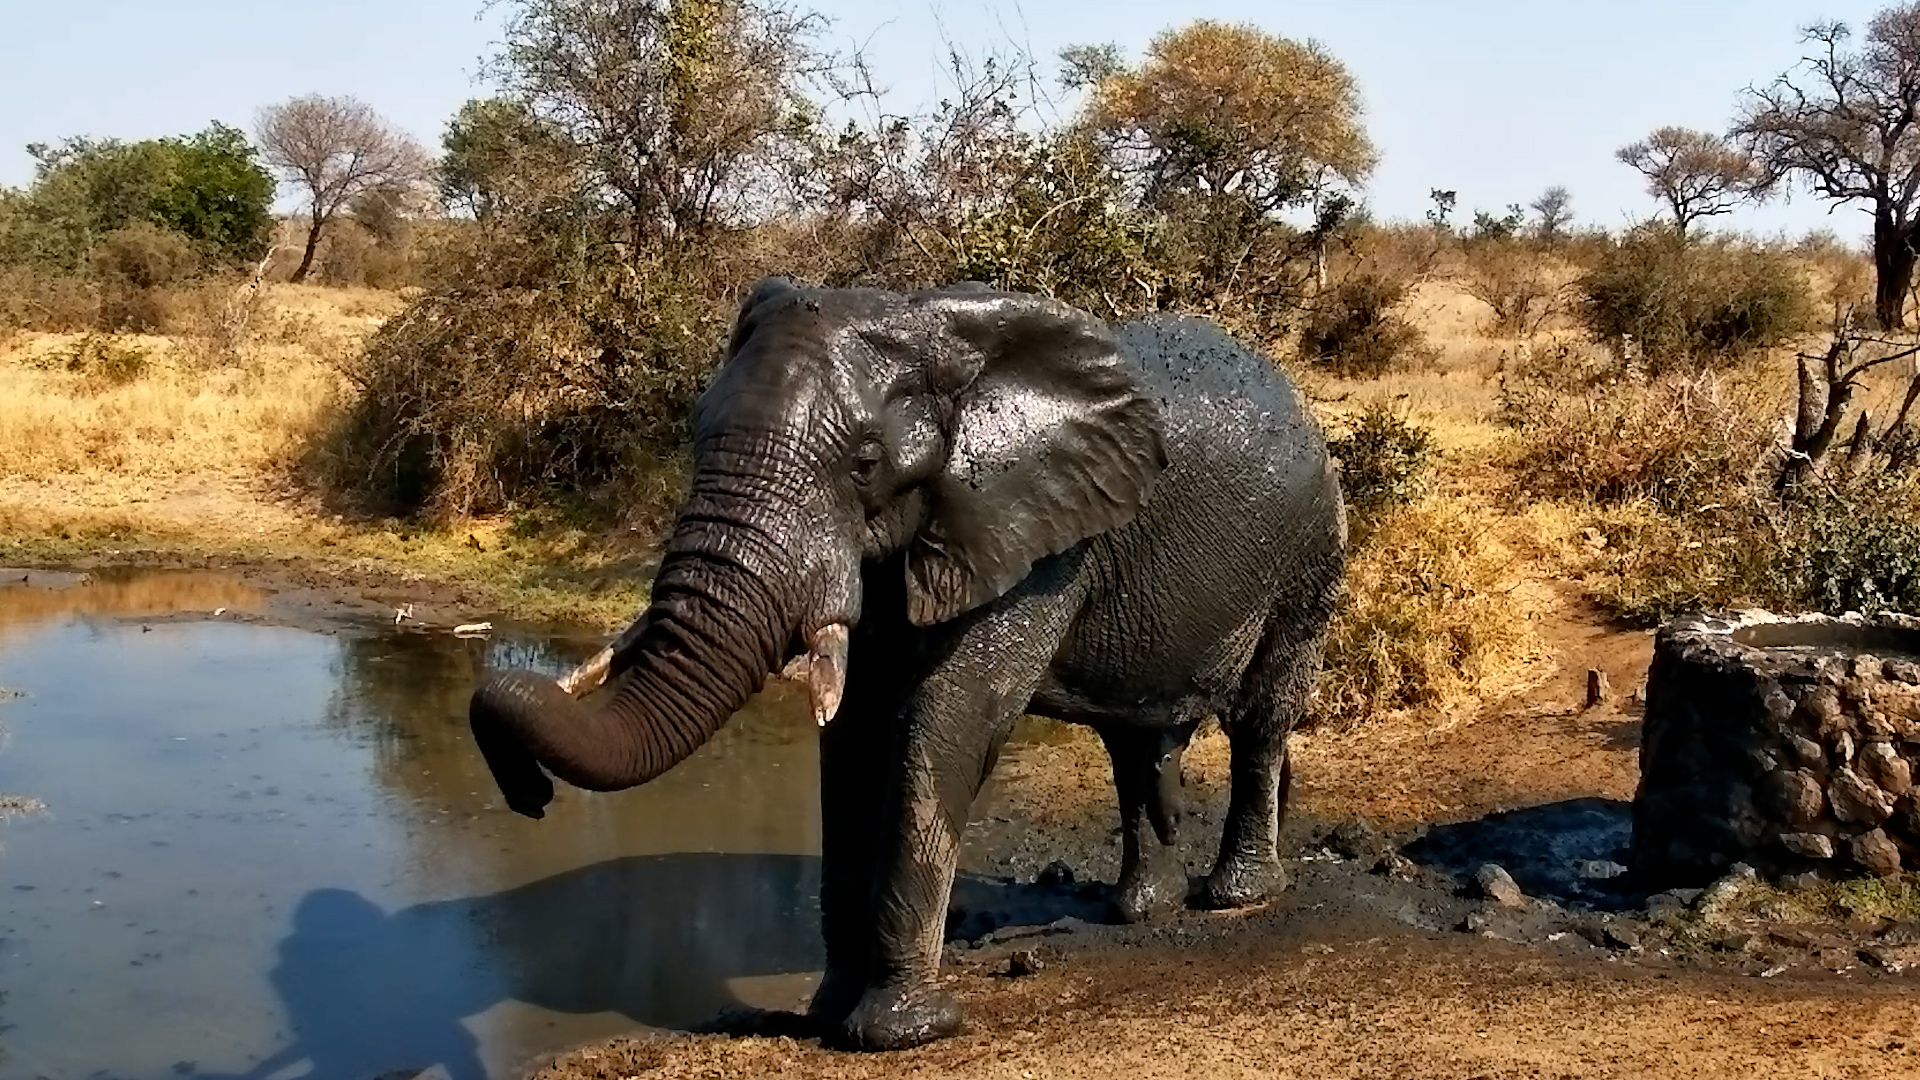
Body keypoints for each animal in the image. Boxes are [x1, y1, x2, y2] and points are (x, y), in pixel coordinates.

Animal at [468, 278, 1348, 1052]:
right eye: (694, 431)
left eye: (864, 463)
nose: (528, 795)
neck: (935, 327)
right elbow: (850, 737)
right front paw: (827, 1014)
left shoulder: (1032, 541)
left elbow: (948, 719)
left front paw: (902, 1033)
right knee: (1132, 744)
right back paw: (1142, 911)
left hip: (1309, 551)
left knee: (1259, 719)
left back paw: (1235, 897)